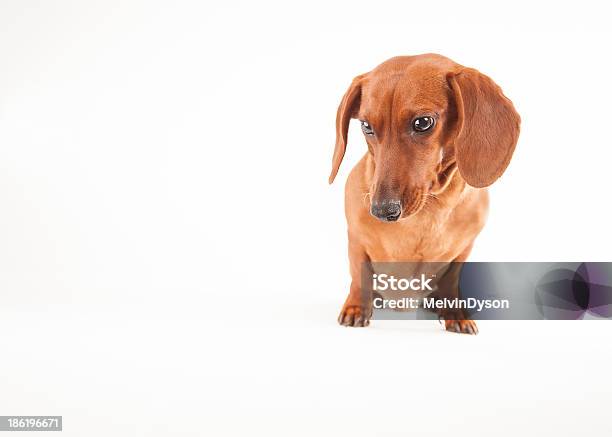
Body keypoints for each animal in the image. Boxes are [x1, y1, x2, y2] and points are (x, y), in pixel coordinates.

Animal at [330, 54, 520, 334]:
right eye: (366, 126)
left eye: (422, 122)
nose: (381, 211)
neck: (428, 211)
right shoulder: (356, 239)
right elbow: (359, 276)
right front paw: (356, 307)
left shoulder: (463, 250)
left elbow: (451, 281)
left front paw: (455, 313)